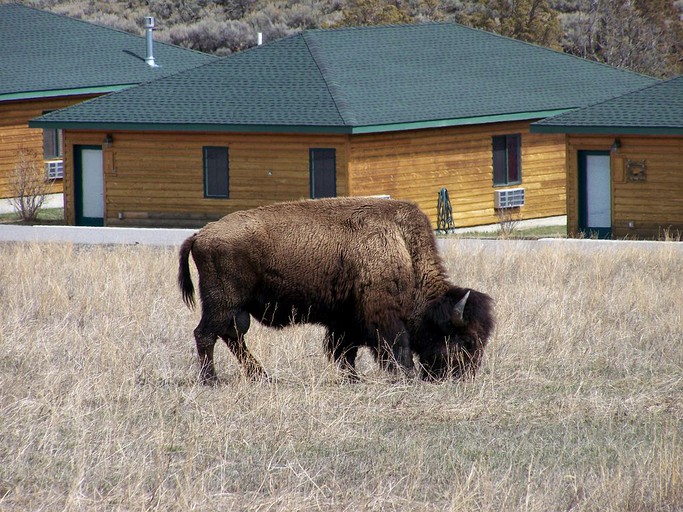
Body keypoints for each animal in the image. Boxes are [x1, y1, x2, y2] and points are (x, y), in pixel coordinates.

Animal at [179, 198, 494, 382]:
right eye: (466, 341)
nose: (465, 376)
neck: (403, 249)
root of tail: (201, 234)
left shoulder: (346, 321)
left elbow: (344, 351)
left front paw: (354, 378)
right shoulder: (382, 317)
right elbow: (395, 346)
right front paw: (406, 376)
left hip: (234, 308)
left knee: (231, 336)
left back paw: (262, 376)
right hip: (222, 302)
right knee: (206, 334)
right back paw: (211, 380)